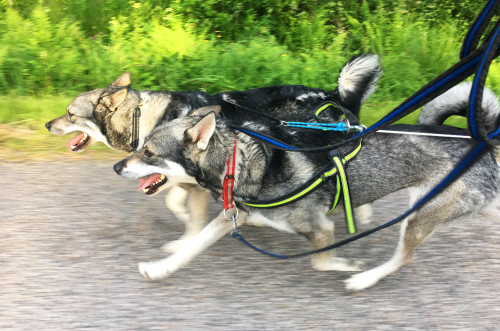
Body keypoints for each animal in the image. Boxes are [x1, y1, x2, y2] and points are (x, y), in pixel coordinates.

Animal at [47, 54, 380, 252]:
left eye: (70, 114)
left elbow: (187, 214)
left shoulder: (195, 181)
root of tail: (333, 96)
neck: (145, 119)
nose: (49, 124)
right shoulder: (182, 179)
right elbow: (172, 199)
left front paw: (186, 239)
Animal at [113, 82, 500, 290]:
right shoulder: (233, 217)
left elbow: (322, 263)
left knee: (403, 257)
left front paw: (348, 266)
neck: (243, 163)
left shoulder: (321, 228)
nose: (117, 166)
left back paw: (365, 279)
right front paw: (159, 268)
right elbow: (191, 247)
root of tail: (481, 140)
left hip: (420, 218)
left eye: (148, 152)